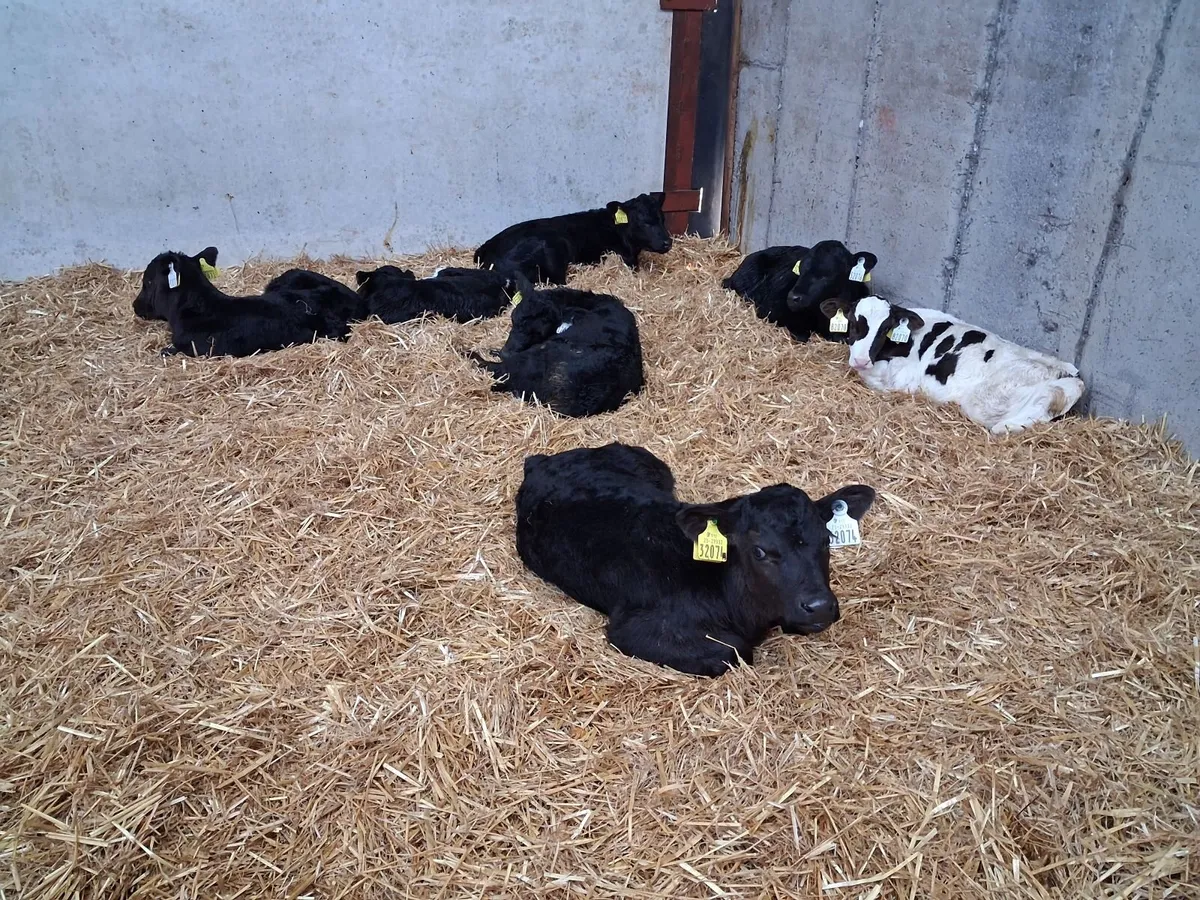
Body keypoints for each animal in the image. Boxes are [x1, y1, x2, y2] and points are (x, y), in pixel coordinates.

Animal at [515, 442, 876, 676]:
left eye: (827, 540)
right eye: (760, 551)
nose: (820, 606)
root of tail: (543, 460)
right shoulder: (634, 629)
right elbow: (735, 650)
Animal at [820, 295, 1086, 434]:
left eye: (886, 327)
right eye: (853, 322)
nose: (861, 359)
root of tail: (1067, 375)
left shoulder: (900, 376)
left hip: (985, 400)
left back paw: (1007, 426)